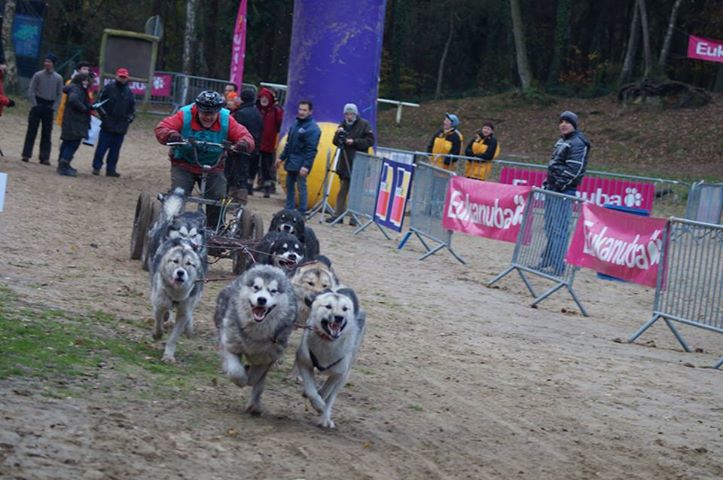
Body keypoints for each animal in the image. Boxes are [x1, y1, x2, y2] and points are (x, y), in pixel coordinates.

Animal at [212, 264, 296, 414]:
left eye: (273, 291)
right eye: (256, 287)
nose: (262, 299)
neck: (256, 332)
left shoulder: (269, 356)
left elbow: (256, 377)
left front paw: (249, 374)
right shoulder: (230, 344)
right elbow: (235, 372)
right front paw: (242, 377)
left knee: (259, 383)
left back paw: (254, 405)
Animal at [296, 286, 364, 430]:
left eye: (345, 308)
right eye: (328, 306)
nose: (339, 317)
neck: (328, 342)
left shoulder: (339, 374)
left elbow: (327, 392)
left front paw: (322, 407)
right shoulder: (305, 363)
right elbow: (311, 390)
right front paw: (317, 403)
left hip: (344, 377)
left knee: (332, 395)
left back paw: (325, 418)